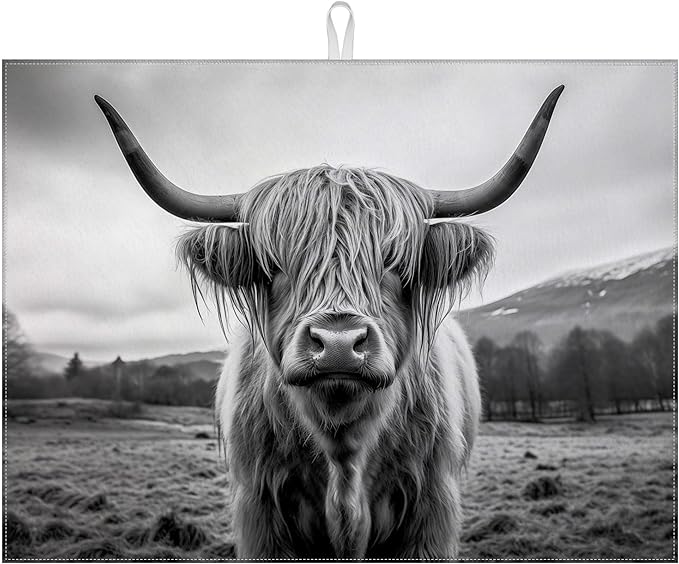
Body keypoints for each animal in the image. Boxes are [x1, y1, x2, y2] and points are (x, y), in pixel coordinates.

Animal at [95, 85, 563, 559]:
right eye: (275, 267)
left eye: (395, 264)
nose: (339, 344)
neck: (344, 450)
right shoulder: (261, 509)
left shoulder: (431, 506)